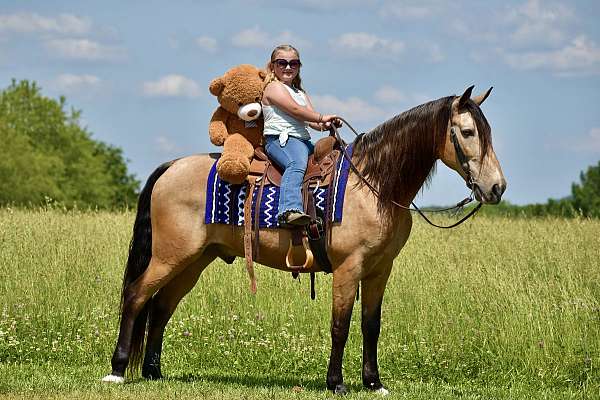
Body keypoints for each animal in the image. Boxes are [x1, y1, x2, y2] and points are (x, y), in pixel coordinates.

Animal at [102, 85, 506, 394]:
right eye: (467, 132)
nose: (496, 188)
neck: (372, 182)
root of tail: (171, 166)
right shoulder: (349, 268)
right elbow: (340, 325)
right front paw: (336, 383)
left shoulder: (379, 270)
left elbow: (370, 326)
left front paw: (374, 383)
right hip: (169, 257)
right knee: (136, 296)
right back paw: (118, 370)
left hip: (193, 260)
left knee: (161, 307)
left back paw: (154, 372)